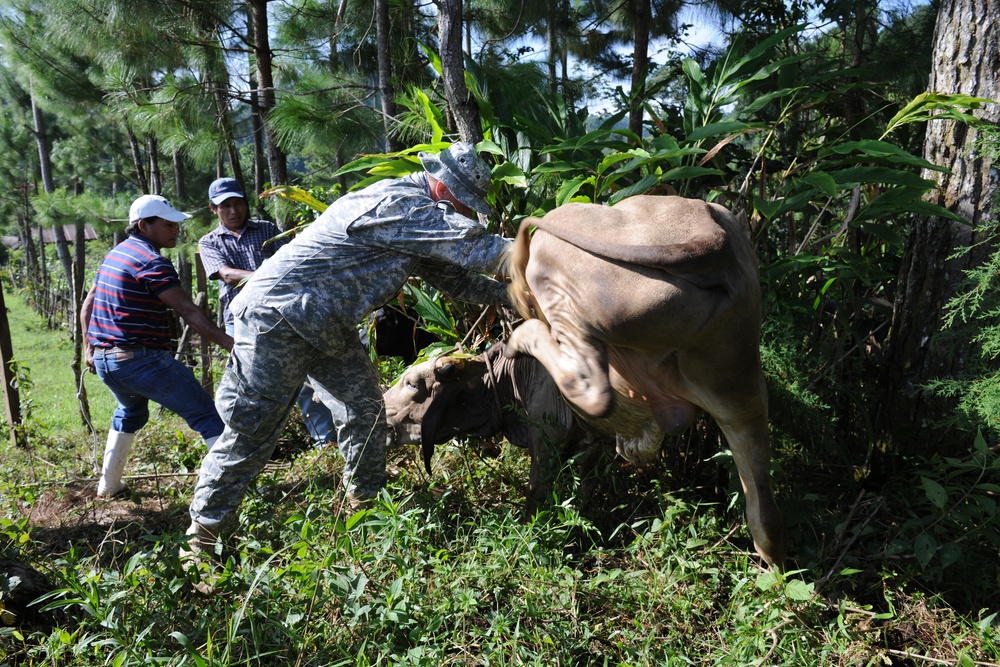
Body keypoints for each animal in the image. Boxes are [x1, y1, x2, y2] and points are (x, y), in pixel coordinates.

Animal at [504, 193, 784, 568]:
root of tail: (710, 240)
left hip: (567, 272)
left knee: (591, 389)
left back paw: (521, 329)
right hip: (733, 371)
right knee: (763, 506)